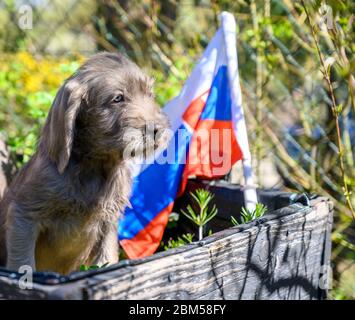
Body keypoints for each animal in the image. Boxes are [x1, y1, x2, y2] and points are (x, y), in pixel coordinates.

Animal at [0, 51, 171, 274]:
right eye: (118, 98)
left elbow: (106, 258)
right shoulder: (24, 215)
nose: (157, 129)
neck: (95, 166)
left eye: (150, 95)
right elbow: (23, 262)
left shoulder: (109, 222)